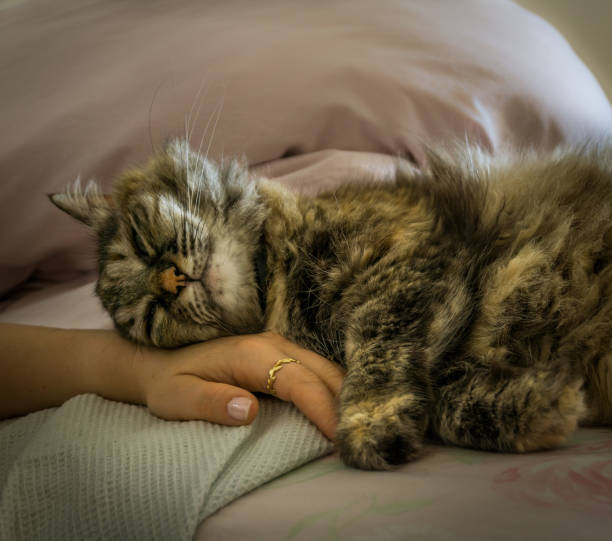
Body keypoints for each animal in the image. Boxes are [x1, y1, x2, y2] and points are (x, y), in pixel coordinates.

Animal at [51, 138, 612, 468]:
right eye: (151, 316)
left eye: (141, 243)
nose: (172, 282)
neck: (279, 277)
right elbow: (445, 404)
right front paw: (543, 406)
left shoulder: (407, 259)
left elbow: (376, 353)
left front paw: (367, 425)